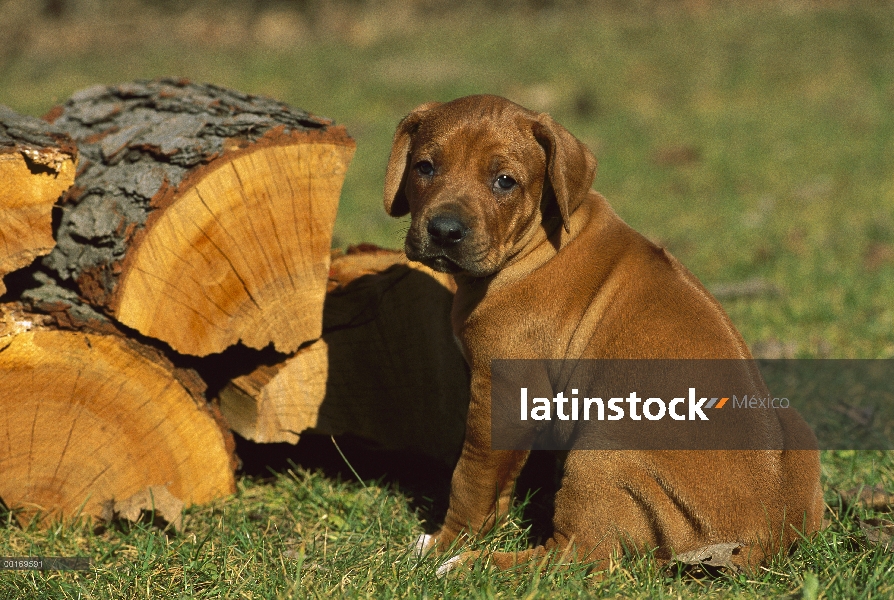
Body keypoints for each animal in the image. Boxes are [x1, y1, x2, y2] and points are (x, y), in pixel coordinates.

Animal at [384, 96, 824, 576]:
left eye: (504, 182)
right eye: (425, 167)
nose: (444, 231)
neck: (538, 238)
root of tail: (762, 538)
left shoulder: (504, 393)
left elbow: (471, 477)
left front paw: (445, 543)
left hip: (602, 451)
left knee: (579, 558)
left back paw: (473, 564)